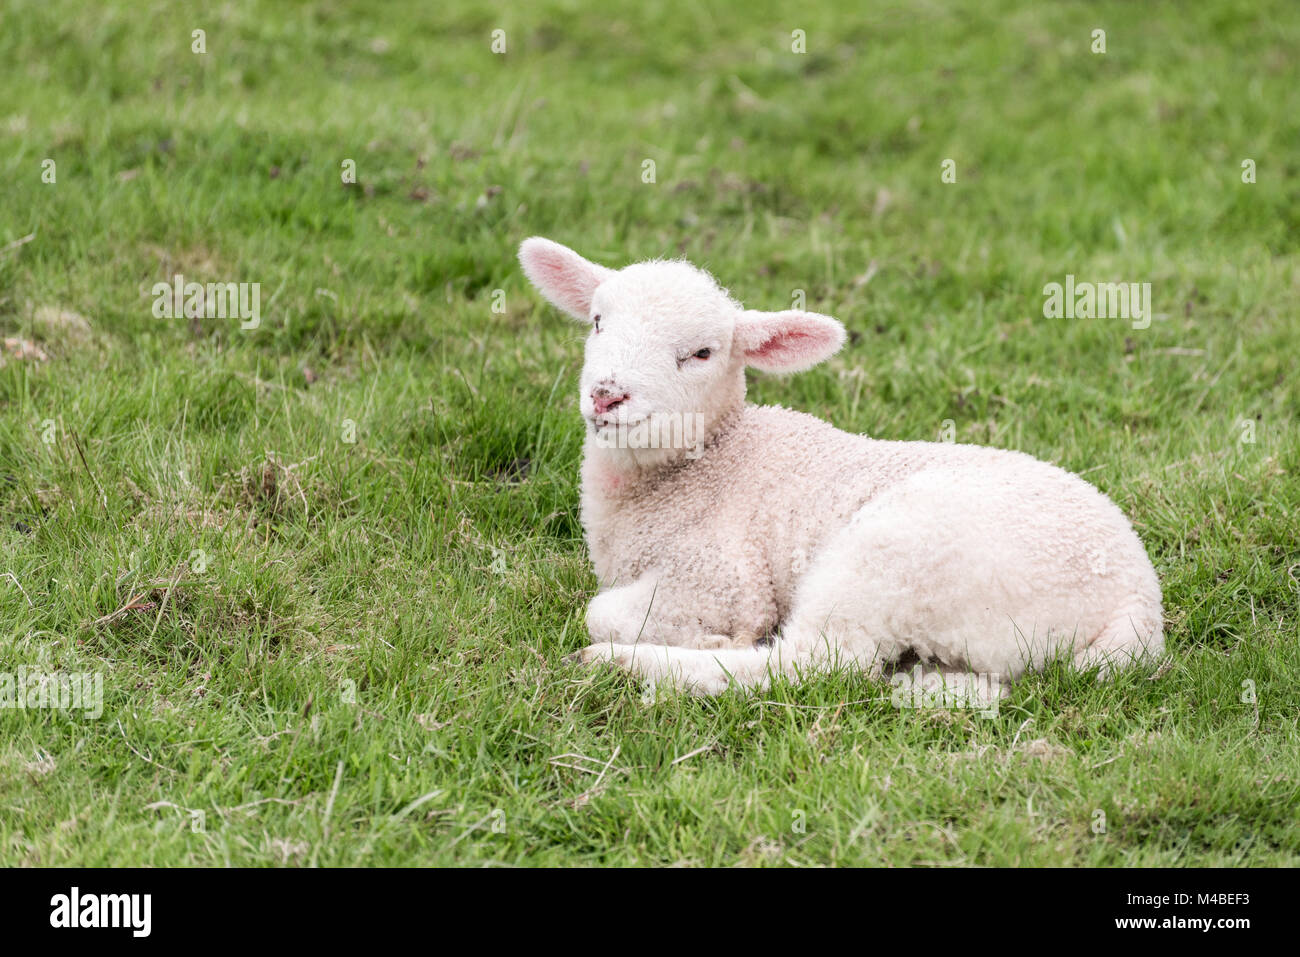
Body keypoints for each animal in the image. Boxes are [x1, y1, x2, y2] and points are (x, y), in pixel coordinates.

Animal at [512, 231, 1164, 696]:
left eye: (700, 353)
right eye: (598, 322)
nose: (607, 395)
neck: (708, 463)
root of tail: (1138, 604)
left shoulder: (721, 580)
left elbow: (602, 611)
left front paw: (694, 637)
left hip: (894, 558)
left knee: (813, 663)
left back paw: (622, 665)